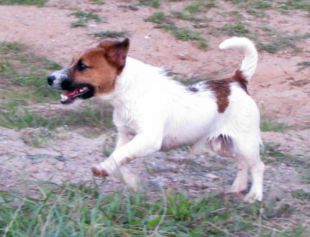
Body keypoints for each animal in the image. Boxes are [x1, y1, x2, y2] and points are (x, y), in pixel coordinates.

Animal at [47, 36, 266, 202]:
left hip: (246, 143)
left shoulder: (148, 139)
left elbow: (119, 156)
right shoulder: (126, 136)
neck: (129, 93)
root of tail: (237, 81)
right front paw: (131, 182)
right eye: (73, 61)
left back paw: (254, 195)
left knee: (258, 166)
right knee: (242, 164)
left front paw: (103, 168)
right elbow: (120, 159)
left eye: (82, 66)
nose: (49, 79)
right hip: (223, 145)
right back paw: (237, 187)